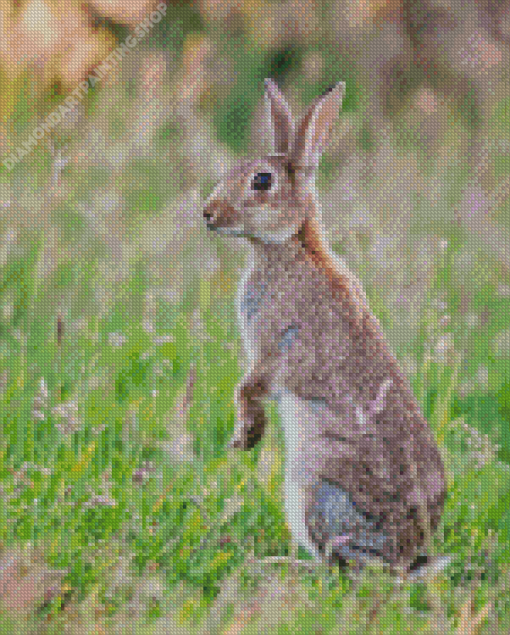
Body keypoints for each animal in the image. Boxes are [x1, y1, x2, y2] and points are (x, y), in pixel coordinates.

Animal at [202, 79, 446, 576]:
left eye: (261, 181)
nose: (208, 212)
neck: (290, 246)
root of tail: (403, 557)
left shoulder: (275, 348)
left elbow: (249, 388)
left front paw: (244, 438)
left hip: (316, 488)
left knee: (341, 566)